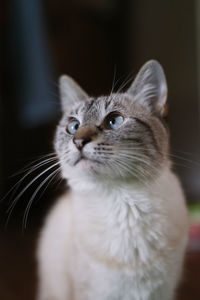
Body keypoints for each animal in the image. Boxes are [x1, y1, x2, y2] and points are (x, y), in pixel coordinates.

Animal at [36, 59, 188, 298]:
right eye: (73, 126)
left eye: (114, 121)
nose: (78, 141)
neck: (121, 200)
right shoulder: (92, 293)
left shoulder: (161, 292)